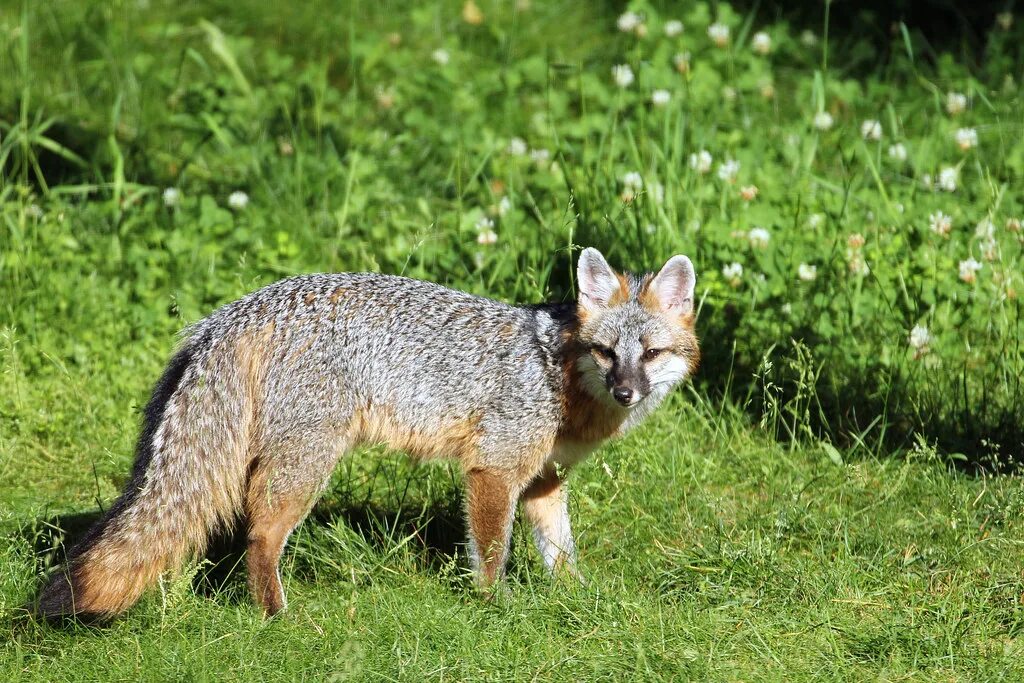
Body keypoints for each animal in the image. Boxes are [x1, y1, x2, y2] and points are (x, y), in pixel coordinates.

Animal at [37, 246, 696, 618]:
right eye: (606, 353)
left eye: (650, 354)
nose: (627, 392)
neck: (558, 373)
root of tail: (242, 308)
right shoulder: (493, 469)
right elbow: (491, 553)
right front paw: (496, 608)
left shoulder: (542, 480)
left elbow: (561, 553)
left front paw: (576, 599)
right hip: (307, 465)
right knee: (259, 535)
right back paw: (277, 617)